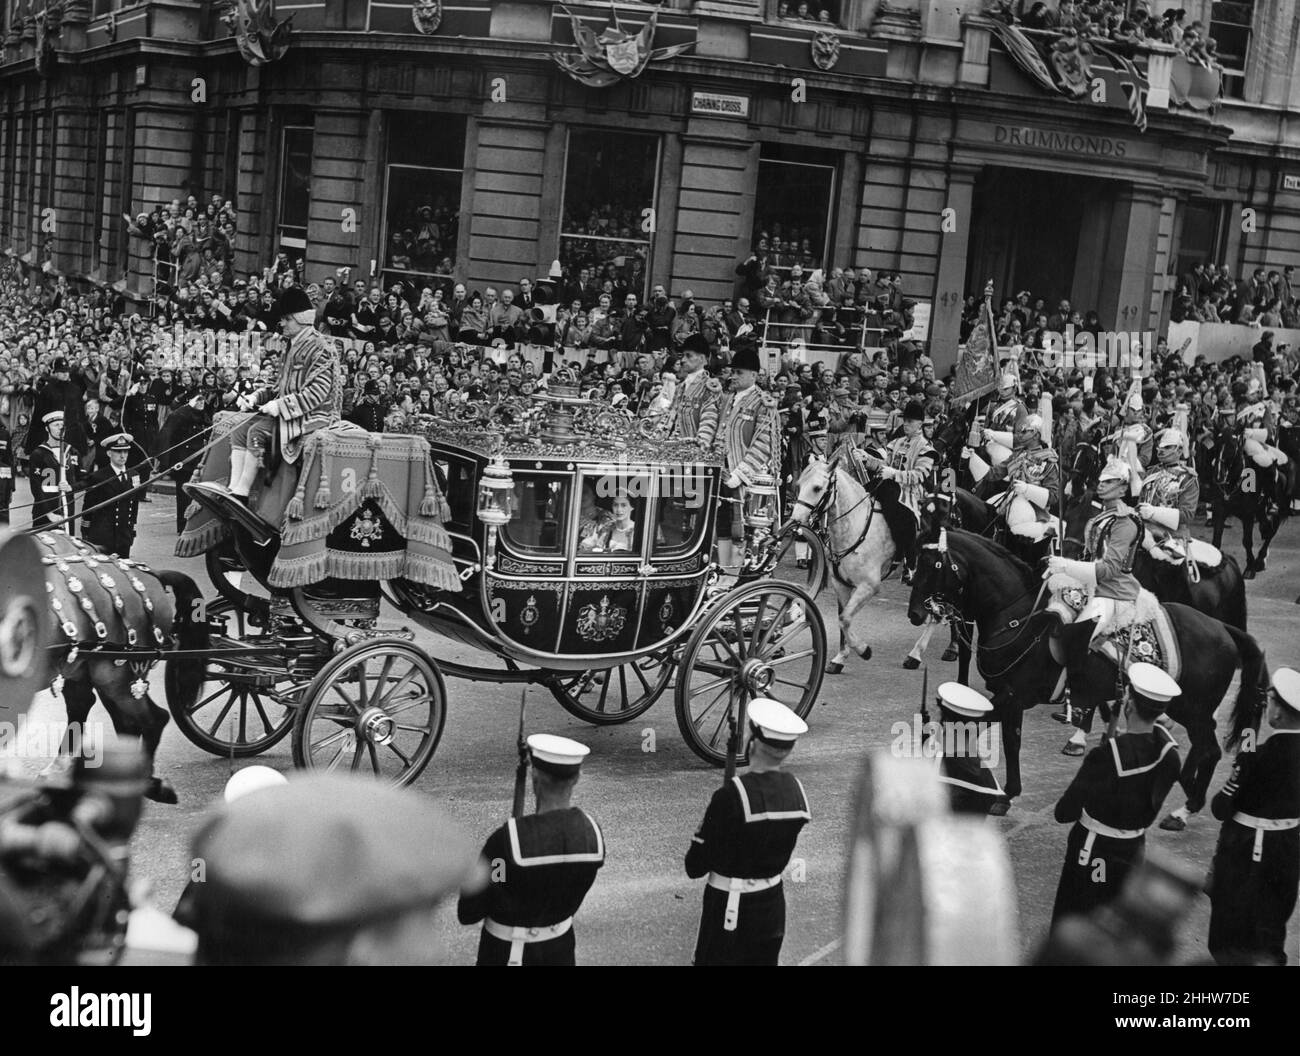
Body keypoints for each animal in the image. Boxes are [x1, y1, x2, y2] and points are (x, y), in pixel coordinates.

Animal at [790, 455, 894, 671]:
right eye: (799, 485)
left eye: (817, 488)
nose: (795, 520)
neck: (856, 528)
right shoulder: (841, 584)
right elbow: (842, 619)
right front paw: (840, 657)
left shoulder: (870, 586)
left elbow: (845, 618)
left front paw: (863, 650)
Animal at [909, 533, 1263, 821]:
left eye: (934, 566)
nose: (915, 613)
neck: (1018, 616)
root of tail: (1222, 629)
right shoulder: (1011, 696)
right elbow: (1011, 741)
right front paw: (1008, 793)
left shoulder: (1014, 695)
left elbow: (974, 726)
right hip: (1187, 709)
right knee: (1203, 748)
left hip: (1193, 709)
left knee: (1210, 750)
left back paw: (1185, 809)